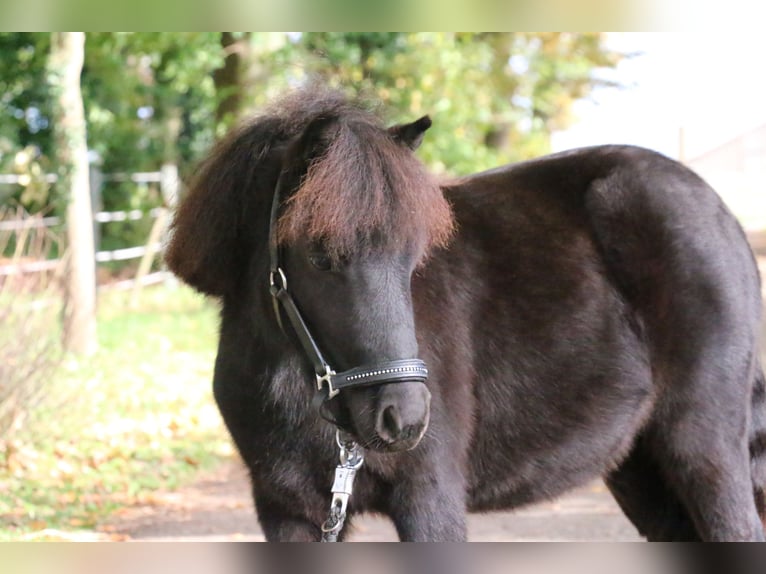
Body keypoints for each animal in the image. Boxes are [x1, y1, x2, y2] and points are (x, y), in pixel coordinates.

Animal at [165, 87, 766, 541]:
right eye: (320, 257)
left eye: (412, 259)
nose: (404, 419)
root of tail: (720, 213)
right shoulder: (288, 511)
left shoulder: (430, 498)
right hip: (641, 468)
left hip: (703, 447)